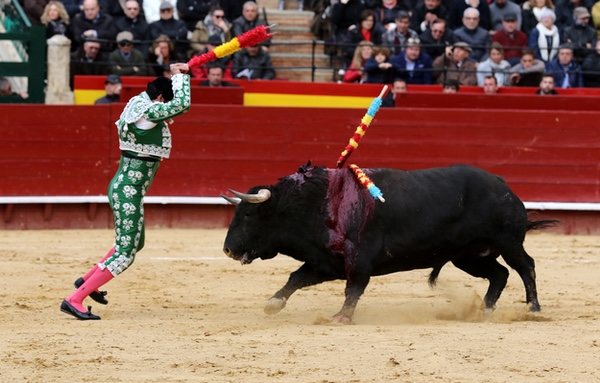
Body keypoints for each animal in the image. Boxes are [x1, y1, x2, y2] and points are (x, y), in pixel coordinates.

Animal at [223, 164, 556, 322]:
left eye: (249, 214)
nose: (227, 249)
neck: (314, 204)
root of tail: (502, 185)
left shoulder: (358, 261)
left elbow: (354, 288)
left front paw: (341, 317)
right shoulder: (325, 262)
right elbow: (297, 278)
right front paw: (272, 304)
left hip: (507, 242)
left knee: (525, 267)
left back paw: (533, 308)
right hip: (469, 256)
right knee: (499, 274)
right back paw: (483, 311)